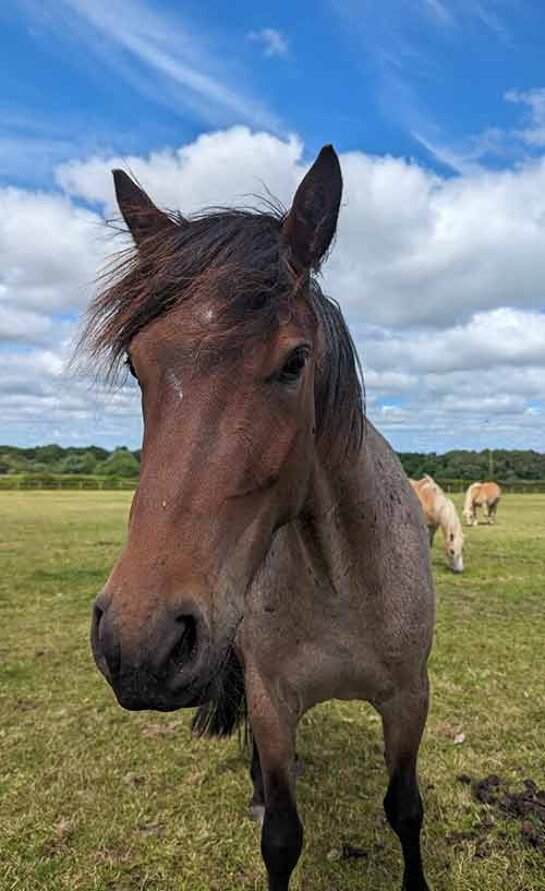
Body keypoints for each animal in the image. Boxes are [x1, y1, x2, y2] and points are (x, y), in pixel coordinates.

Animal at [85, 148, 434, 891]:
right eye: (137, 364)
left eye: (295, 361)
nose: (138, 642)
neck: (340, 580)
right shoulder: (272, 702)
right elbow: (281, 834)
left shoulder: (408, 700)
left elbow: (404, 809)